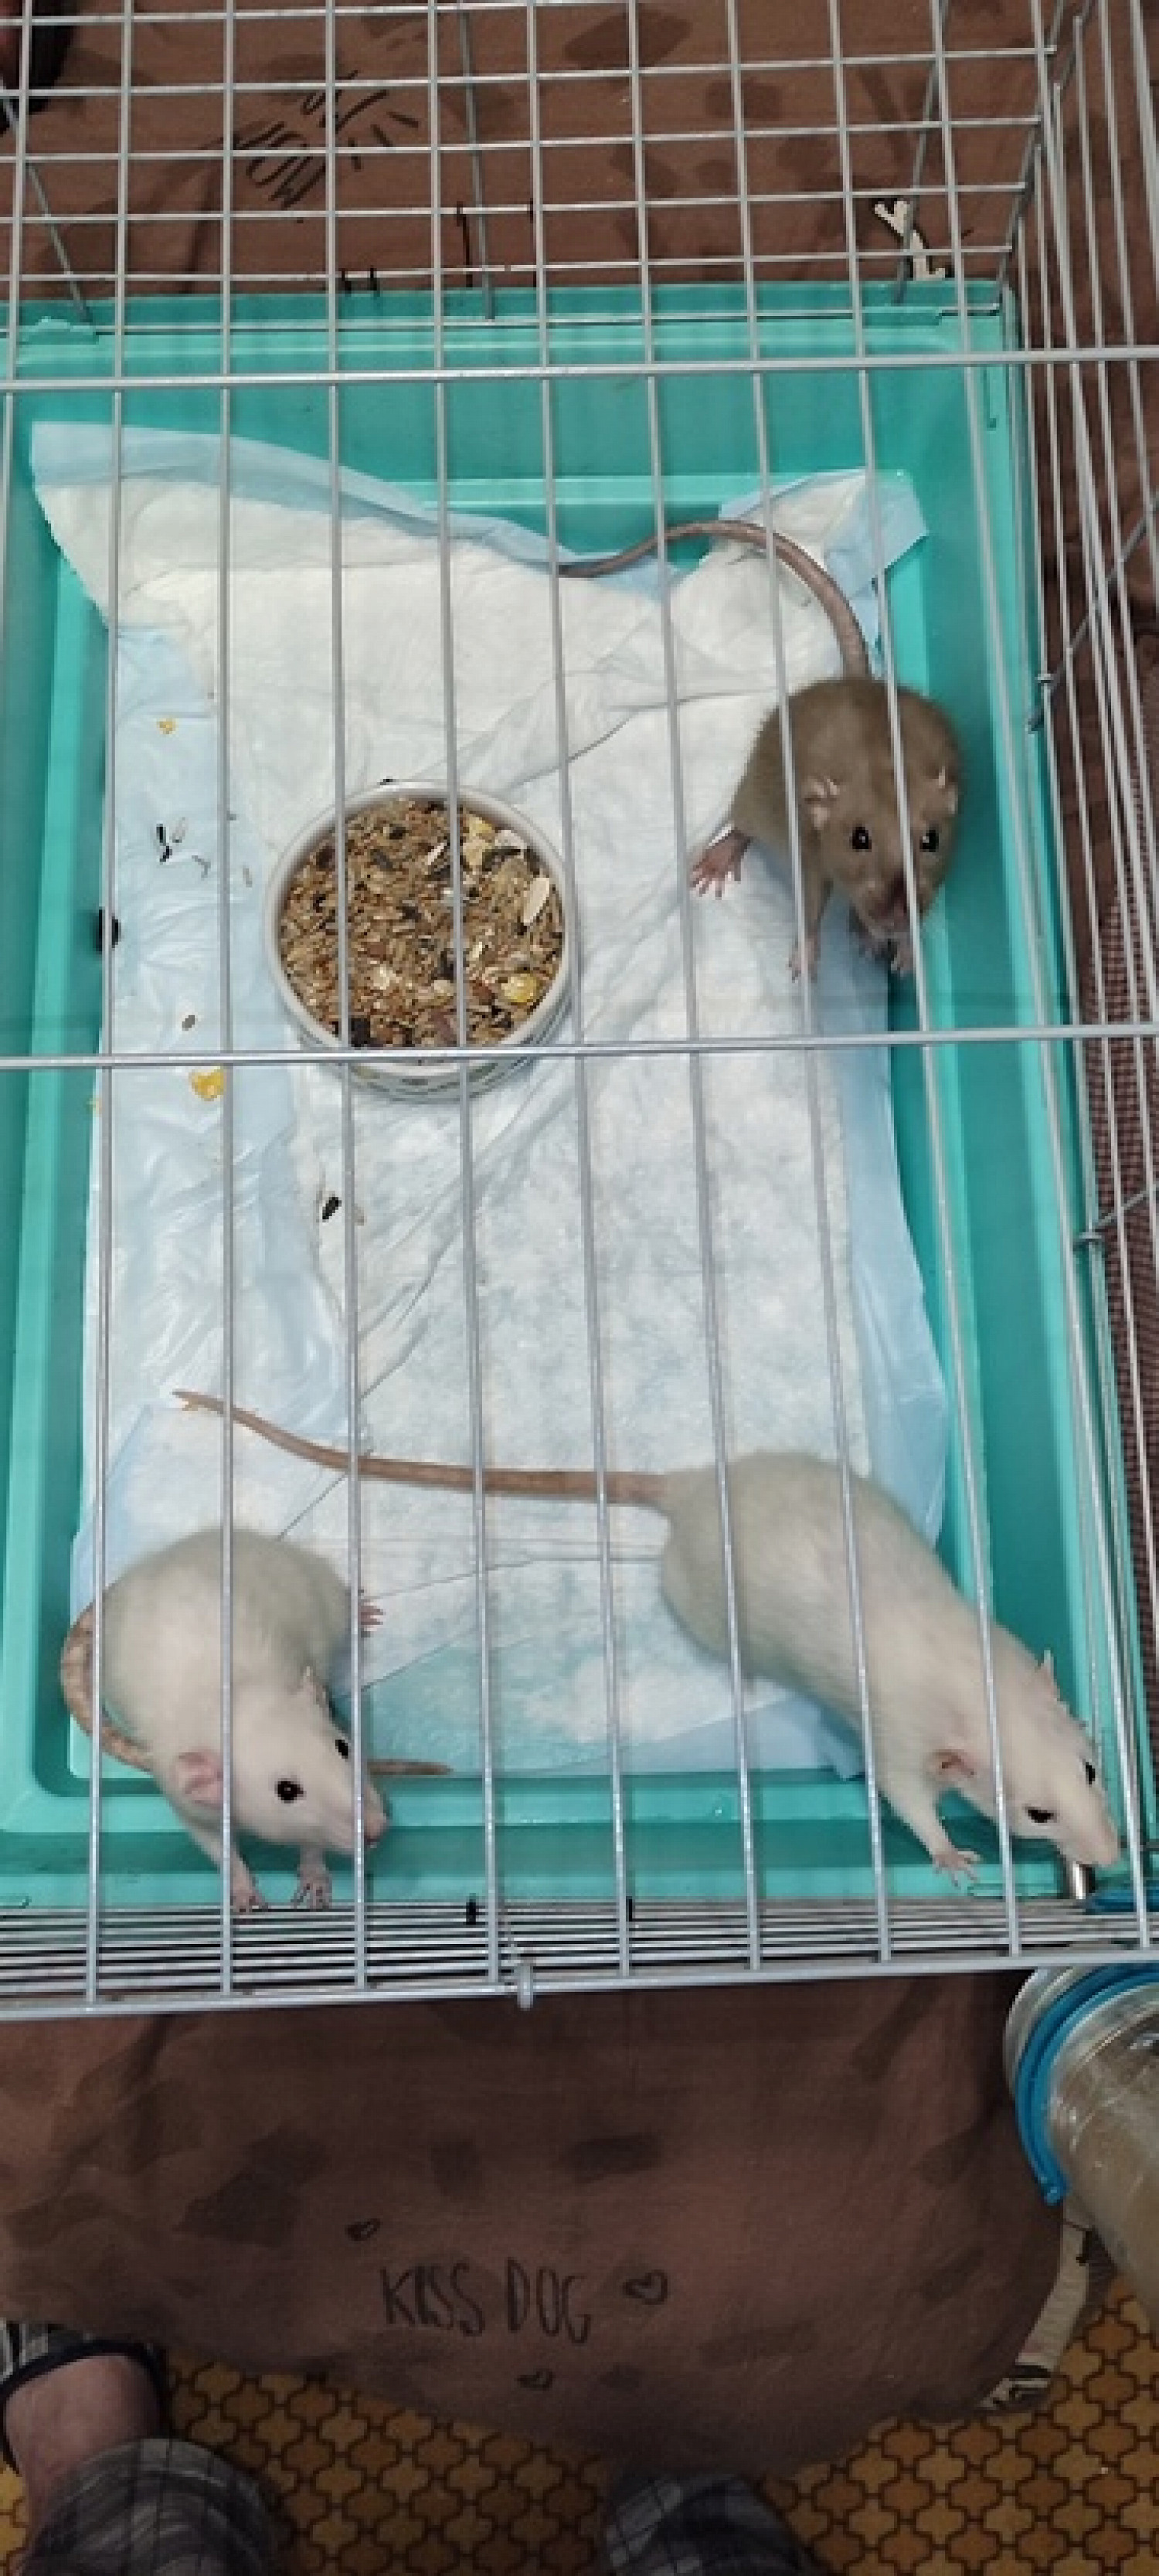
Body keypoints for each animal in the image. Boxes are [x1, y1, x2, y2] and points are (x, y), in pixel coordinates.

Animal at [72, 1526, 389, 1912]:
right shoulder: (184, 1793)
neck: (236, 1697)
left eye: (343, 1748)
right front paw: (241, 1887)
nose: (375, 1829)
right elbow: (211, 1841)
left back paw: (356, 1610)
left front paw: (315, 1871)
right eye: (286, 1791)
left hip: (311, 1582)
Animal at [175, 1396, 1121, 1883]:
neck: (973, 1679)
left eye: (1090, 1771)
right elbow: (904, 1793)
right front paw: (952, 1853)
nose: (1113, 1856)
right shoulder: (900, 1734)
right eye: (1034, 1815)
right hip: (698, 1604)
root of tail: (690, 1490)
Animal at [563, 517, 962, 978]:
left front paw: (907, 950)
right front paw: (806, 956)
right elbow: (811, 903)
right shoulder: (810, 854)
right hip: (756, 794)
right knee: (744, 823)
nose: (895, 919)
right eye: (859, 839)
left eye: (931, 840)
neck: (883, 762)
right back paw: (722, 856)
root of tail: (857, 681)